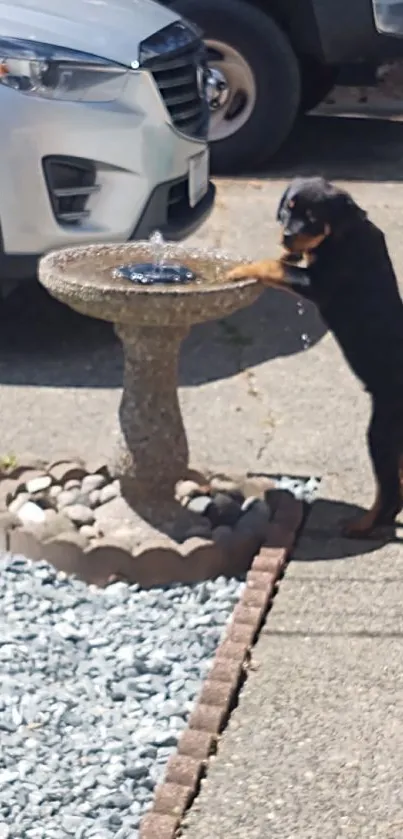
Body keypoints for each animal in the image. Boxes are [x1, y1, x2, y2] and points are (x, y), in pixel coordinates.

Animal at [229, 176, 403, 540]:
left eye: (312, 217)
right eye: (287, 209)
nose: (286, 234)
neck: (342, 234)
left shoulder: (318, 283)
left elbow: (275, 266)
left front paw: (240, 269)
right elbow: (285, 260)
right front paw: (285, 250)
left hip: (383, 429)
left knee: (390, 491)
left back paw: (362, 525)